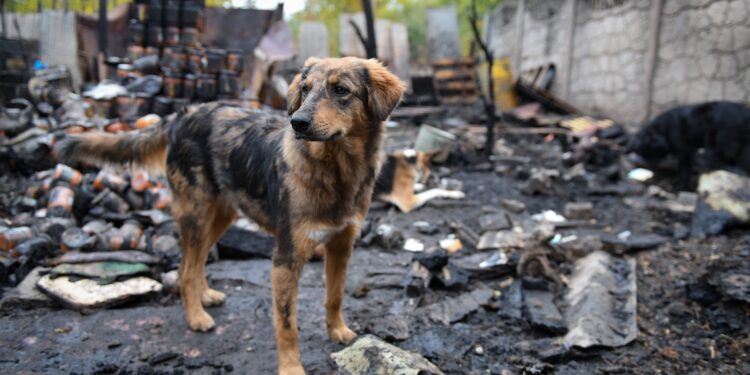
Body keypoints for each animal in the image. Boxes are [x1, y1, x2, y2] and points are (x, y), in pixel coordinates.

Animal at [55, 57, 406, 374]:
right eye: (305, 90)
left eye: (341, 90)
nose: (298, 122)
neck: (336, 171)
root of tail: (182, 115)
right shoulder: (286, 257)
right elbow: (287, 324)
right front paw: (291, 368)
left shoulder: (341, 245)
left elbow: (335, 295)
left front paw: (338, 331)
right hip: (195, 214)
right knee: (185, 268)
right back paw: (196, 317)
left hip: (220, 215)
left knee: (195, 261)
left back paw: (205, 296)